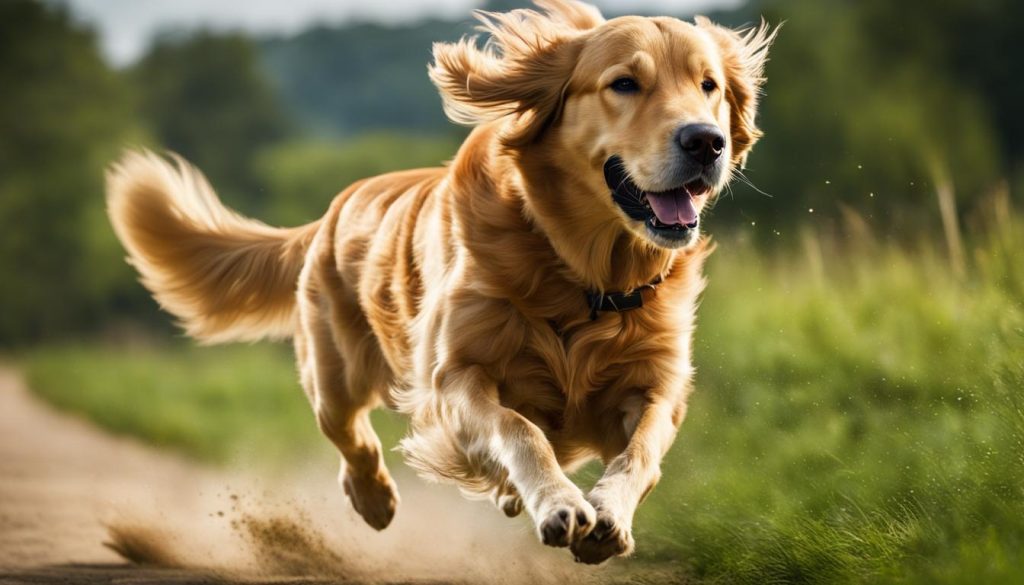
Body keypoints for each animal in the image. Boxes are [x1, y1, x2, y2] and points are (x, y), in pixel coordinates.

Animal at [105, 1, 774, 569]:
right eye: (624, 84)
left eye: (709, 86)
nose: (706, 141)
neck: (584, 277)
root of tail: (332, 210)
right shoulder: (457, 376)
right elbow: (521, 430)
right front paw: (559, 503)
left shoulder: (656, 384)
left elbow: (641, 452)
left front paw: (607, 512)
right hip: (334, 373)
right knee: (349, 435)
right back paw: (374, 497)